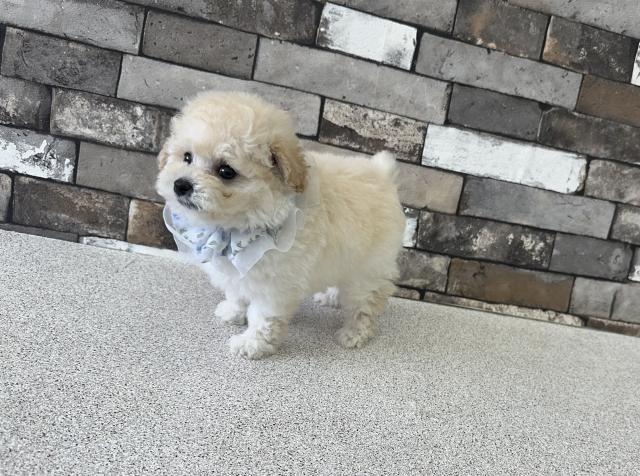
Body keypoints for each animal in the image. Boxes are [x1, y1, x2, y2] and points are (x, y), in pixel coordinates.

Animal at [156, 92, 405, 359]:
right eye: (187, 157)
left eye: (226, 171)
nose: (181, 185)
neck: (238, 224)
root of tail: (382, 172)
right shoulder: (239, 269)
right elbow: (236, 290)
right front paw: (232, 311)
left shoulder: (273, 286)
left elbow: (263, 318)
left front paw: (251, 345)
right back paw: (331, 296)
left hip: (369, 269)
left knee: (365, 304)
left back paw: (354, 334)